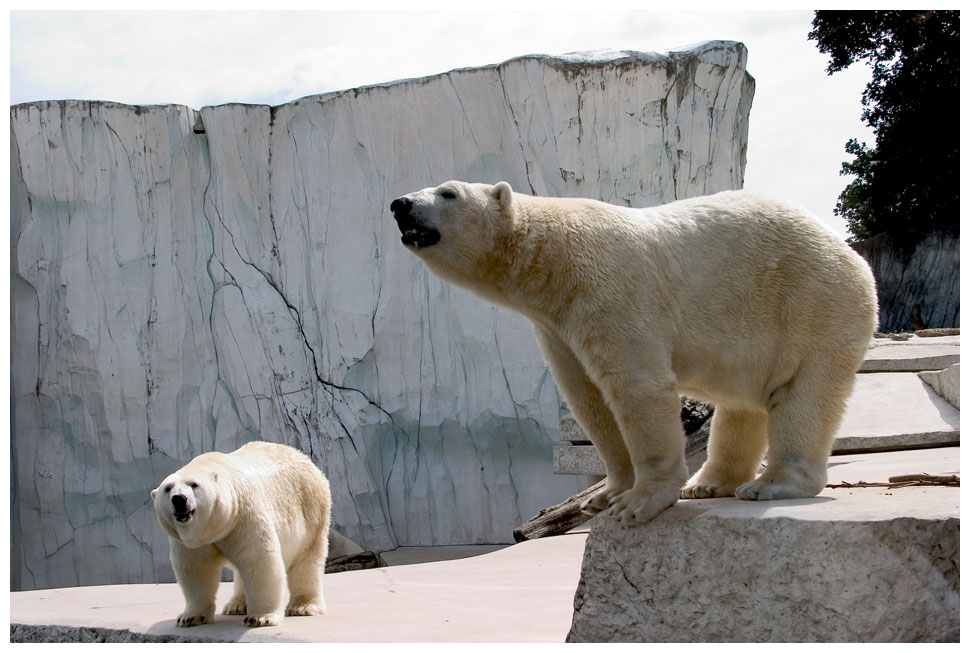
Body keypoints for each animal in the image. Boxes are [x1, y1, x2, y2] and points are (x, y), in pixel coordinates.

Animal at [152, 440, 332, 624]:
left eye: (194, 484)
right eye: (167, 488)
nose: (179, 499)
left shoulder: (243, 515)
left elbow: (259, 559)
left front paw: (261, 617)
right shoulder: (190, 541)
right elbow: (196, 569)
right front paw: (190, 617)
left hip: (312, 510)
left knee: (307, 560)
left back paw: (302, 606)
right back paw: (235, 606)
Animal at [388, 180, 876, 524]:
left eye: (448, 192)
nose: (399, 204)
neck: (552, 259)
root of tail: (853, 255)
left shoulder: (610, 292)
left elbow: (633, 385)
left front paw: (639, 503)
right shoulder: (555, 325)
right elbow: (588, 399)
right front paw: (606, 495)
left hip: (811, 303)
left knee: (802, 392)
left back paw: (770, 485)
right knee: (742, 403)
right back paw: (709, 484)